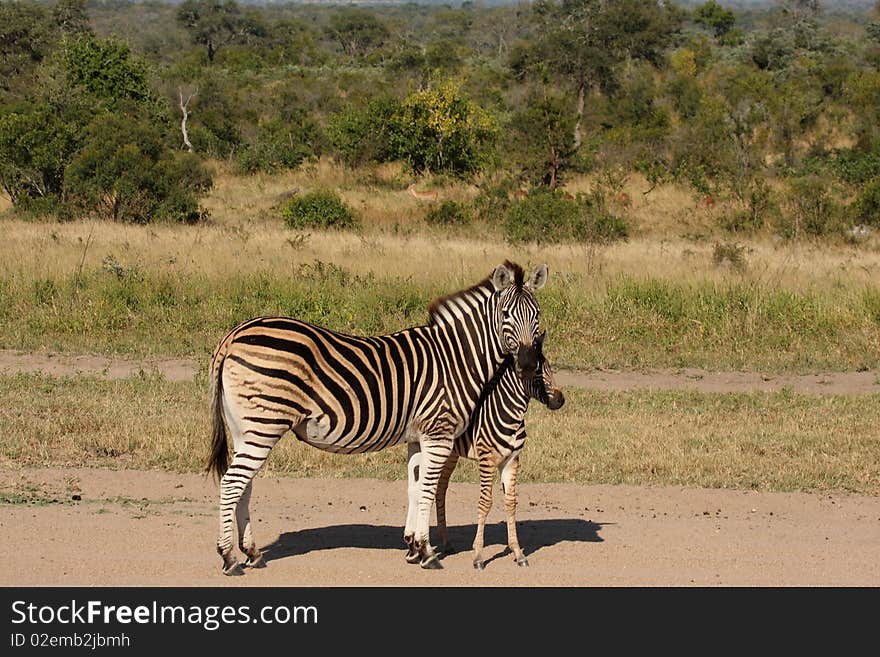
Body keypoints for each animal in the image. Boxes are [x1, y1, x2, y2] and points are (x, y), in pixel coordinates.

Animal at [209, 258, 548, 572]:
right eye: (505, 316)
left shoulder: (417, 437)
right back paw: (229, 557)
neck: (455, 357)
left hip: (246, 429)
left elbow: (414, 488)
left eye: (537, 315)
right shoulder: (438, 433)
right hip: (264, 425)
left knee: (244, 485)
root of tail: (235, 334)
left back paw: (252, 553)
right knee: (231, 483)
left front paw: (412, 547)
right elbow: (428, 489)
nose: (527, 364)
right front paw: (427, 552)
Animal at [430, 328, 568, 568]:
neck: (511, 414)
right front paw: (478, 555)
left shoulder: (511, 460)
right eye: (537, 373)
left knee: (440, 488)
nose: (560, 400)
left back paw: (446, 542)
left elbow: (511, 503)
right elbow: (485, 502)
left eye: (550, 369)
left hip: (451, 454)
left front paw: (518, 552)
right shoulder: (487, 459)